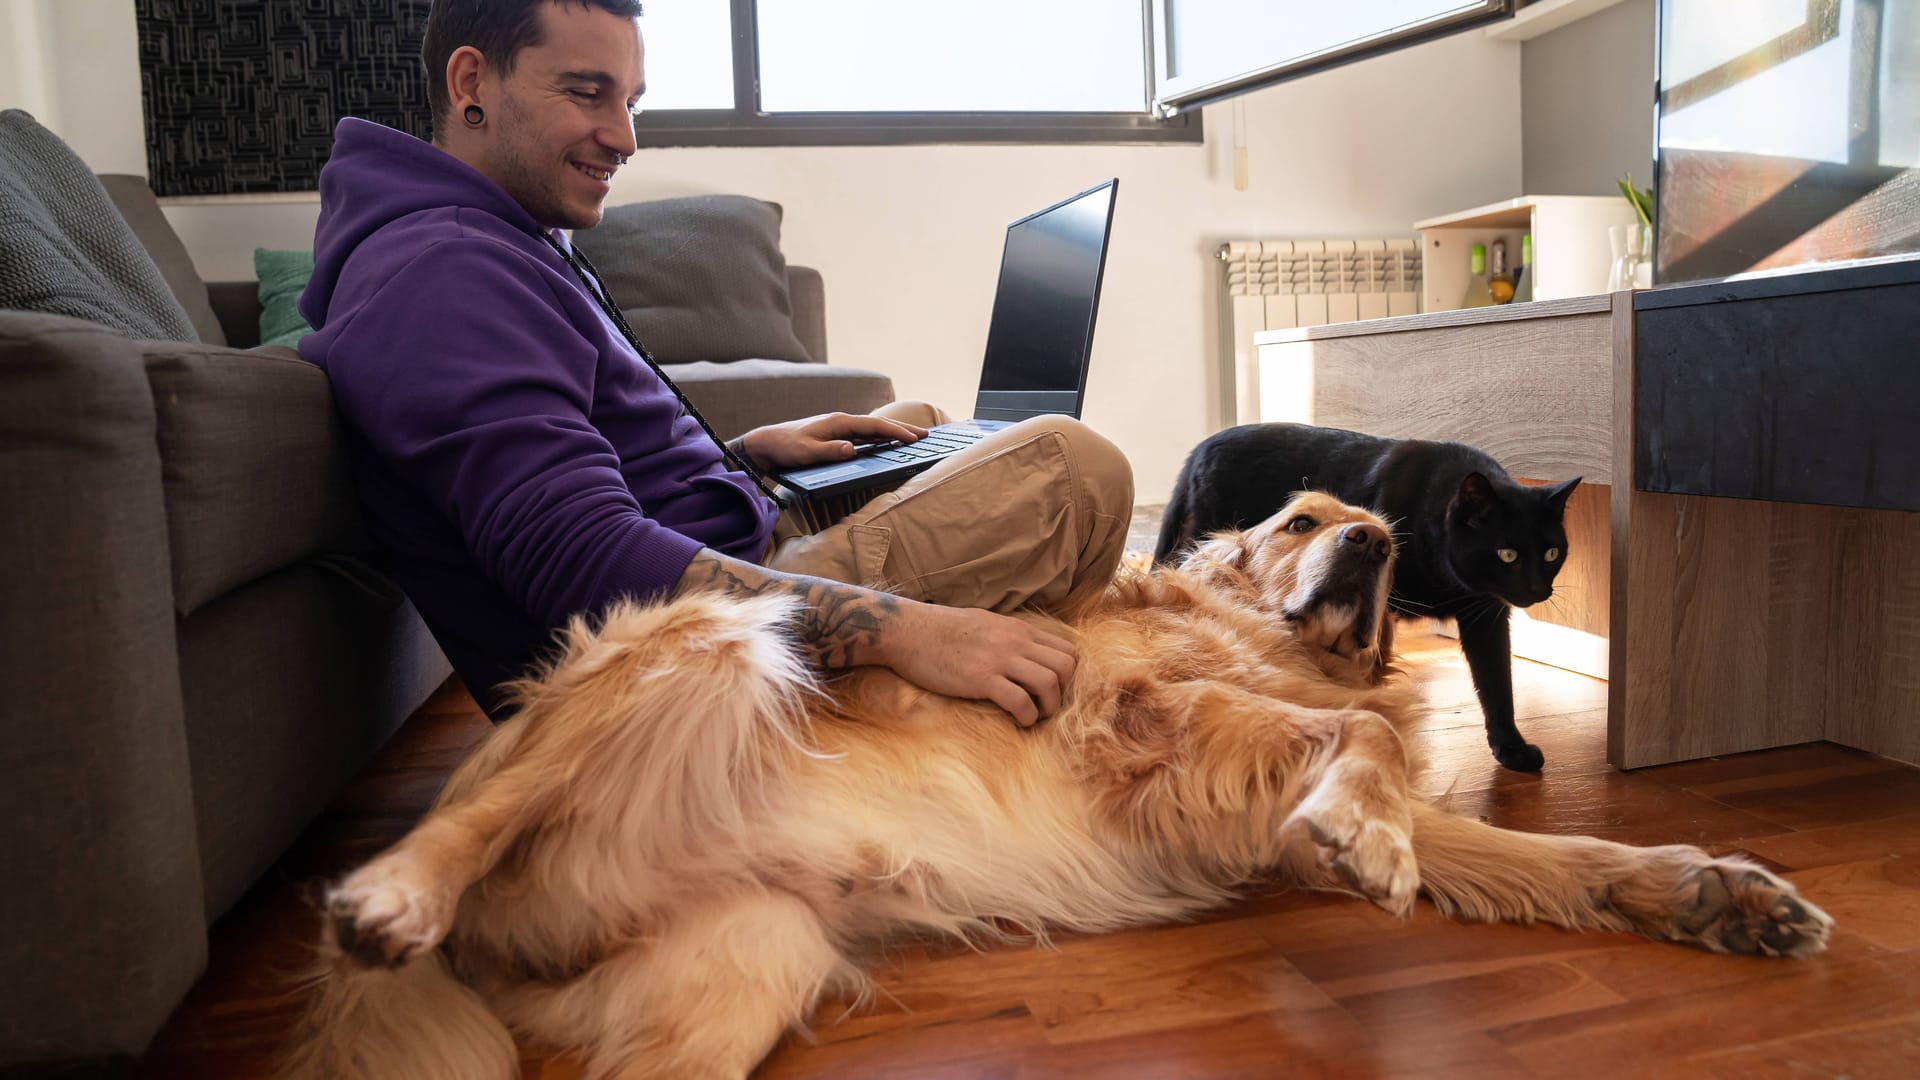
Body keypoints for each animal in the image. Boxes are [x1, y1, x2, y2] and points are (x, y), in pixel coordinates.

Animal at [280, 491, 1827, 1068]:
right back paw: (392, 893)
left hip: (739, 971)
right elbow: (1377, 754)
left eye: (1368, 534)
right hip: (712, 636)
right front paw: (1366, 827)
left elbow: (1551, 856)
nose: (1379, 539)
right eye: (1300, 519)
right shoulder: (1157, 718)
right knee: (467, 819)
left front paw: (1716, 893)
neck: (1274, 643)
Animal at [1152, 418, 1574, 764]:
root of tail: (1201, 448)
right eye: (1507, 554)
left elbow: (1497, 681)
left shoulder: (1484, 614)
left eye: (1552, 553)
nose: (1538, 590)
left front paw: (1510, 745)